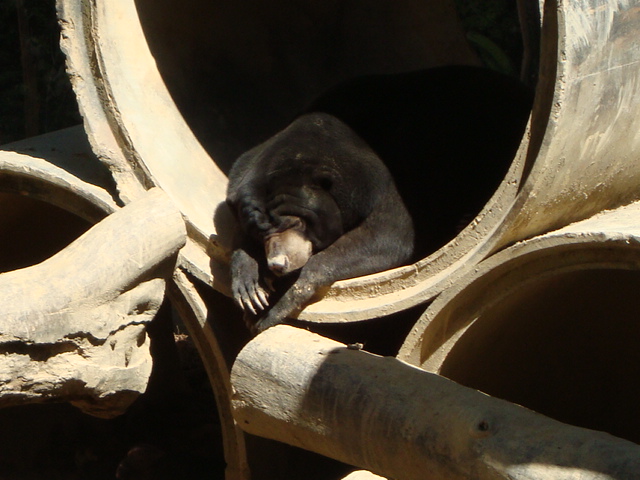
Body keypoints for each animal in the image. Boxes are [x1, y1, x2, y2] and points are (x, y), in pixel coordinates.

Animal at [225, 110, 416, 332]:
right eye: (259, 234)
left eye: (296, 223)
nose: (277, 264)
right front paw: (251, 289)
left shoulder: (373, 188)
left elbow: (386, 237)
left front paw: (276, 303)